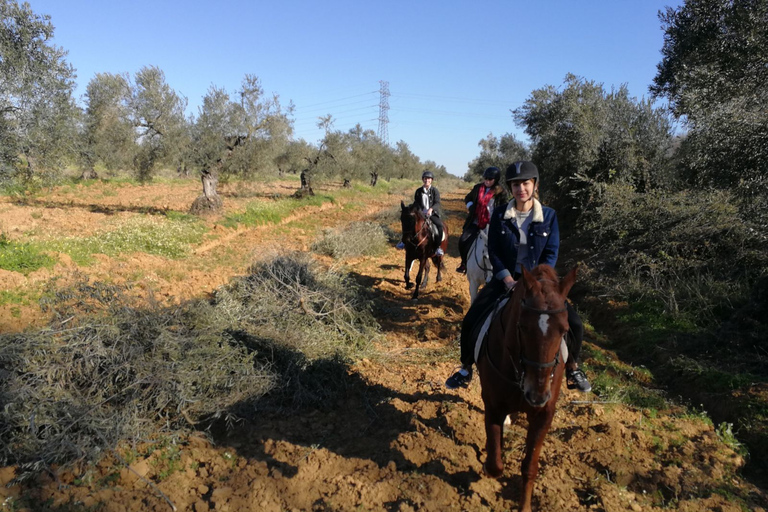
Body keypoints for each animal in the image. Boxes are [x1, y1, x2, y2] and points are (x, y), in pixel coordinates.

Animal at [476, 264, 580, 512]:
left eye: (564, 330)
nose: (538, 394)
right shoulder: (493, 405)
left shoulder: (544, 415)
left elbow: (529, 467)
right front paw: (487, 463)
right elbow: (495, 464)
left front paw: (524, 507)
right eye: (522, 327)